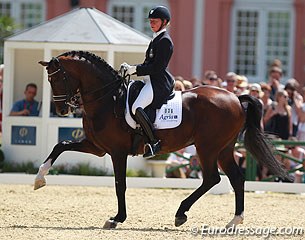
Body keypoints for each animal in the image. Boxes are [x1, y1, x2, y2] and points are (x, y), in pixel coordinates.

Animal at [35, 50, 288, 229]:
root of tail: (235, 98)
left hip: (207, 147)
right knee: (235, 178)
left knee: (212, 178)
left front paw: (117, 218)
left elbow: (119, 184)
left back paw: (181, 213)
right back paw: (233, 221)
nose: (61, 110)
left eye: (57, 79)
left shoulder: (117, 152)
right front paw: (39, 179)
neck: (107, 98)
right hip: (223, 149)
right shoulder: (97, 147)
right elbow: (60, 145)